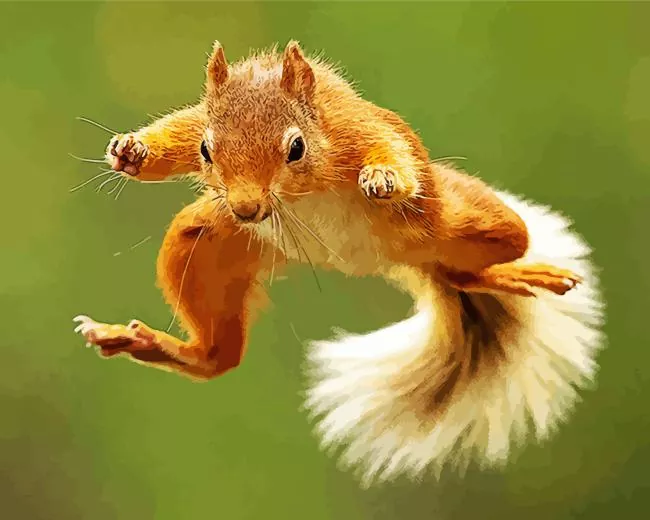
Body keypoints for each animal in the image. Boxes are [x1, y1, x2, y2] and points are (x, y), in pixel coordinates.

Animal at [74, 40, 605, 487]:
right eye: (207, 150)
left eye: (296, 147)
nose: (245, 209)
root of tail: (393, 262)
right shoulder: (199, 127)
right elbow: (178, 130)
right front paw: (132, 150)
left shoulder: (353, 128)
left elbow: (388, 148)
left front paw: (383, 177)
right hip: (203, 246)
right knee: (218, 358)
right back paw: (138, 341)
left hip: (466, 222)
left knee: (483, 255)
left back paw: (520, 272)